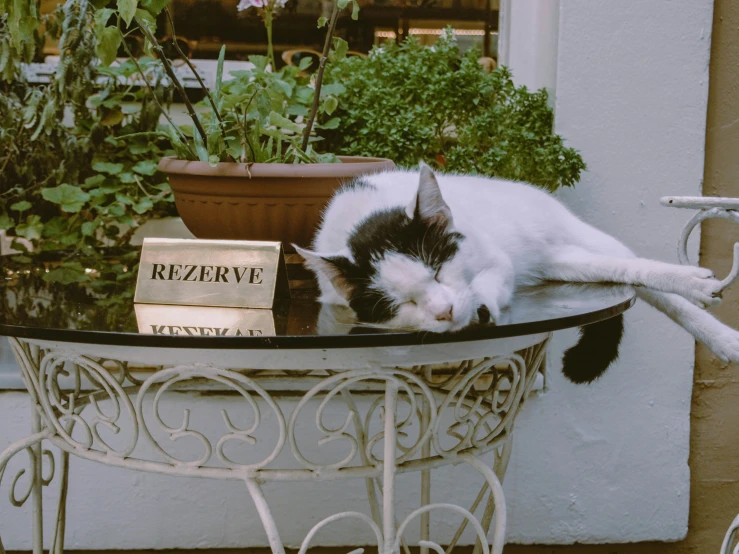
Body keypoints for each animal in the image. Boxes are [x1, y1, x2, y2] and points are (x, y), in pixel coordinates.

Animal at [294, 162, 739, 382]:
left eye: (437, 270)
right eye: (405, 302)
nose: (444, 311)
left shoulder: (494, 259)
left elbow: (489, 278)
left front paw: (481, 307)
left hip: (572, 238)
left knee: (640, 273)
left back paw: (712, 317)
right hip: (564, 263)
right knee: (621, 272)